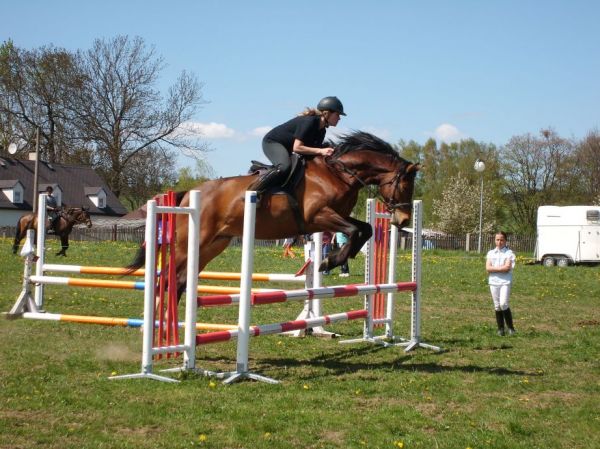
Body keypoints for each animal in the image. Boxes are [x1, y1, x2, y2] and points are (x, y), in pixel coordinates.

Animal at [127, 131, 420, 300]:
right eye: (406, 185)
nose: (404, 220)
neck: (338, 173)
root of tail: (190, 193)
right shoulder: (319, 216)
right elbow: (355, 231)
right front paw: (330, 261)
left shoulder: (334, 216)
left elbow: (365, 229)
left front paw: (335, 260)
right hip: (190, 243)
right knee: (167, 278)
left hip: (214, 244)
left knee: (179, 280)